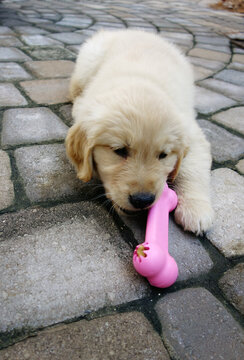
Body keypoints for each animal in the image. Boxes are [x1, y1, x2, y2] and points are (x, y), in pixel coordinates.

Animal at [66, 30, 214, 233]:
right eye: (120, 151)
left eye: (163, 155)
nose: (143, 200)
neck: (139, 81)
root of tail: (135, 30)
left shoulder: (191, 132)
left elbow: (193, 168)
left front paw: (195, 207)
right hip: (87, 63)